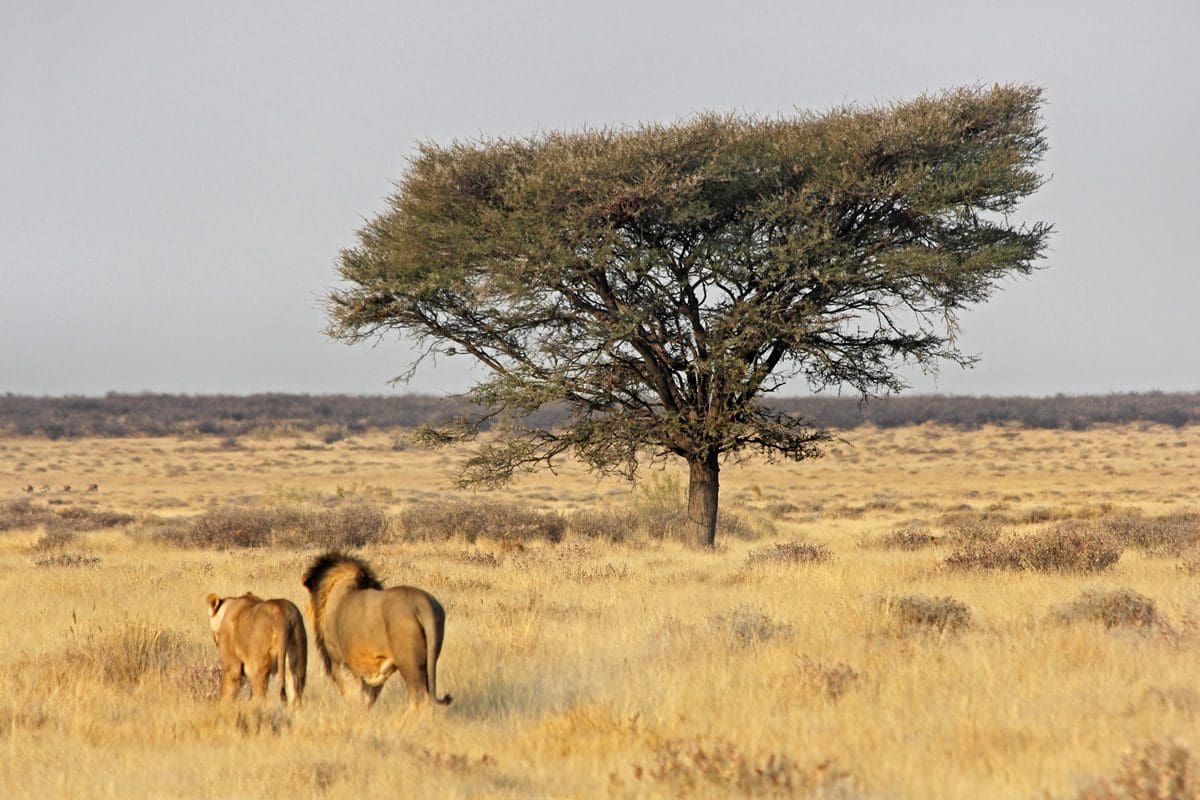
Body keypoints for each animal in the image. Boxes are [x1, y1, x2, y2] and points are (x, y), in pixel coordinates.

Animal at [301, 552, 451, 710]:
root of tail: (422, 605)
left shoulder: (339, 663)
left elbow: (352, 696)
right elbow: (367, 698)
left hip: (409, 662)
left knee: (419, 697)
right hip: (429, 659)